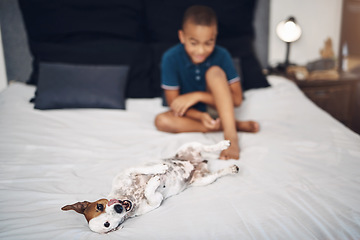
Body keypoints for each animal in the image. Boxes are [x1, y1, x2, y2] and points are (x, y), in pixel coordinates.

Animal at [62, 140, 239, 233]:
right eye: (107, 225)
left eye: (100, 206)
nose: (119, 208)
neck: (129, 197)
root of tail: (198, 162)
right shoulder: (156, 201)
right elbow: (152, 194)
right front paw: (154, 182)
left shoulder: (130, 171)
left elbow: (147, 169)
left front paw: (159, 170)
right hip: (203, 180)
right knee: (217, 173)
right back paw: (231, 168)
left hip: (189, 146)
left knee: (206, 146)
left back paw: (222, 145)